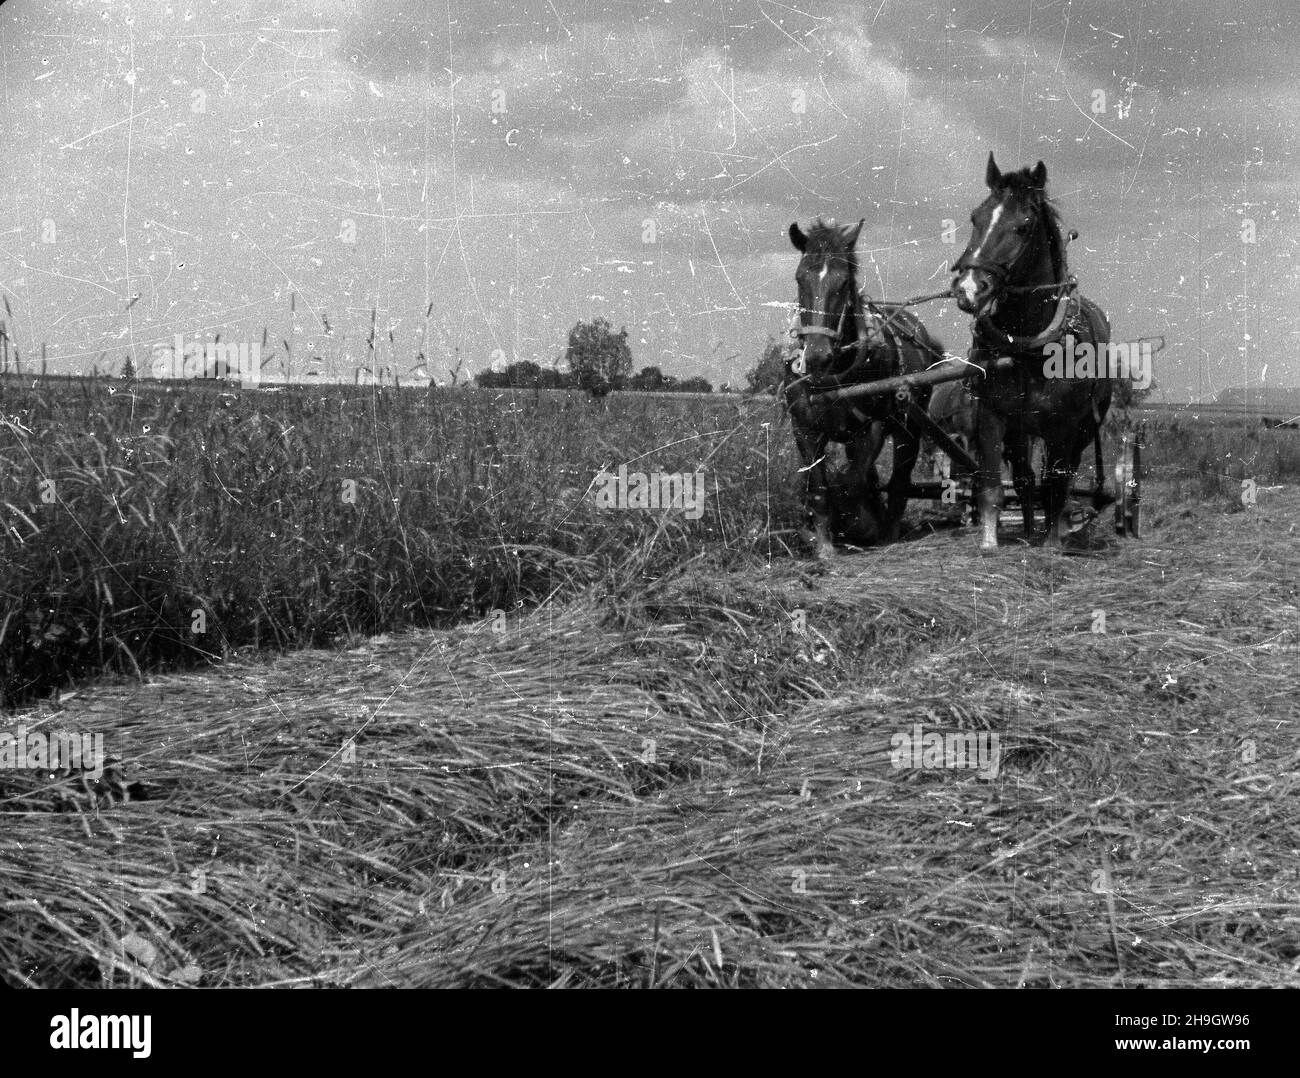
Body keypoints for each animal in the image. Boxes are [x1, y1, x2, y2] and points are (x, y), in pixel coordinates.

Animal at [780, 215, 946, 559]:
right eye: (800, 278)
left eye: (844, 282)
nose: (817, 356)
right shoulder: (804, 427)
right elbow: (818, 487)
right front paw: (823, 543)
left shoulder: (873, 426)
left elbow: (852, 483)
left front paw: (862, 525)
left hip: (909, 424)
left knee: (899, 479)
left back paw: (888, 529)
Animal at [951, 153, 1112, 546]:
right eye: (976, 217)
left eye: (1023, 226)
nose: (969, 288)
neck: (1028, 343)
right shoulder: (992, 416)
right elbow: (993, 486)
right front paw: (989, 542)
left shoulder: (1064, 425)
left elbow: (1055, 484)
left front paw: (1053, 542)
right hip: (1020, 430)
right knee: (1024, 480)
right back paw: (1026, 527)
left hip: (1080, 431)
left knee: (1058, 479)